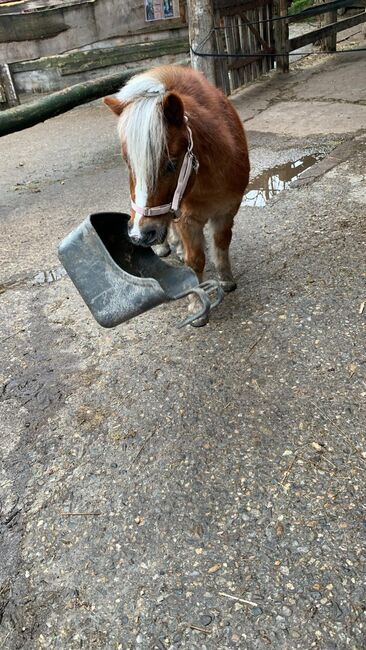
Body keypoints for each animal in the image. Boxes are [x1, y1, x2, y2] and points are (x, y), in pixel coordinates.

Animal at [104, 64, 250, 292]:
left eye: (171, 164)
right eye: (128, 163)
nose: (138, 235)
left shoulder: (227, 211)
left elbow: (222, 242)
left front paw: (226, 280)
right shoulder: (186, 219)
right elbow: (195, 260)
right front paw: (197, 296)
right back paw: (166, 247)